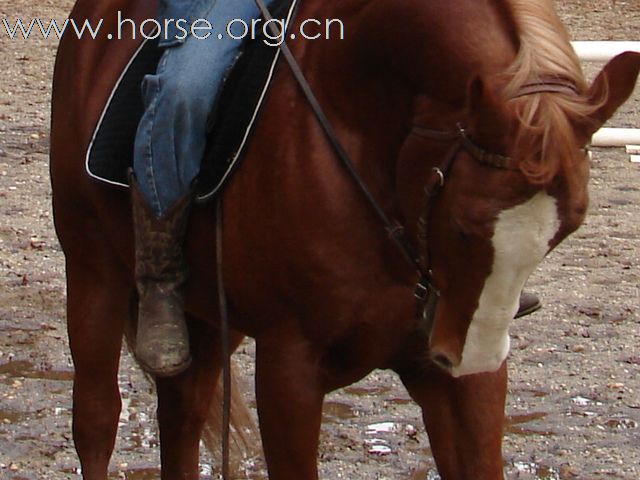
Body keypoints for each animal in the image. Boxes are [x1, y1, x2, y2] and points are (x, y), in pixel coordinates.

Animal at [51, 0, 640, 478]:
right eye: (464, 225)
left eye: (567, 228)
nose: (466, 356)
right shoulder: (291, 365)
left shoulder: (457, 369)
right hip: (92, 272)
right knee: (97, 418)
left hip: (211, 316)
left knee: (182, 412)